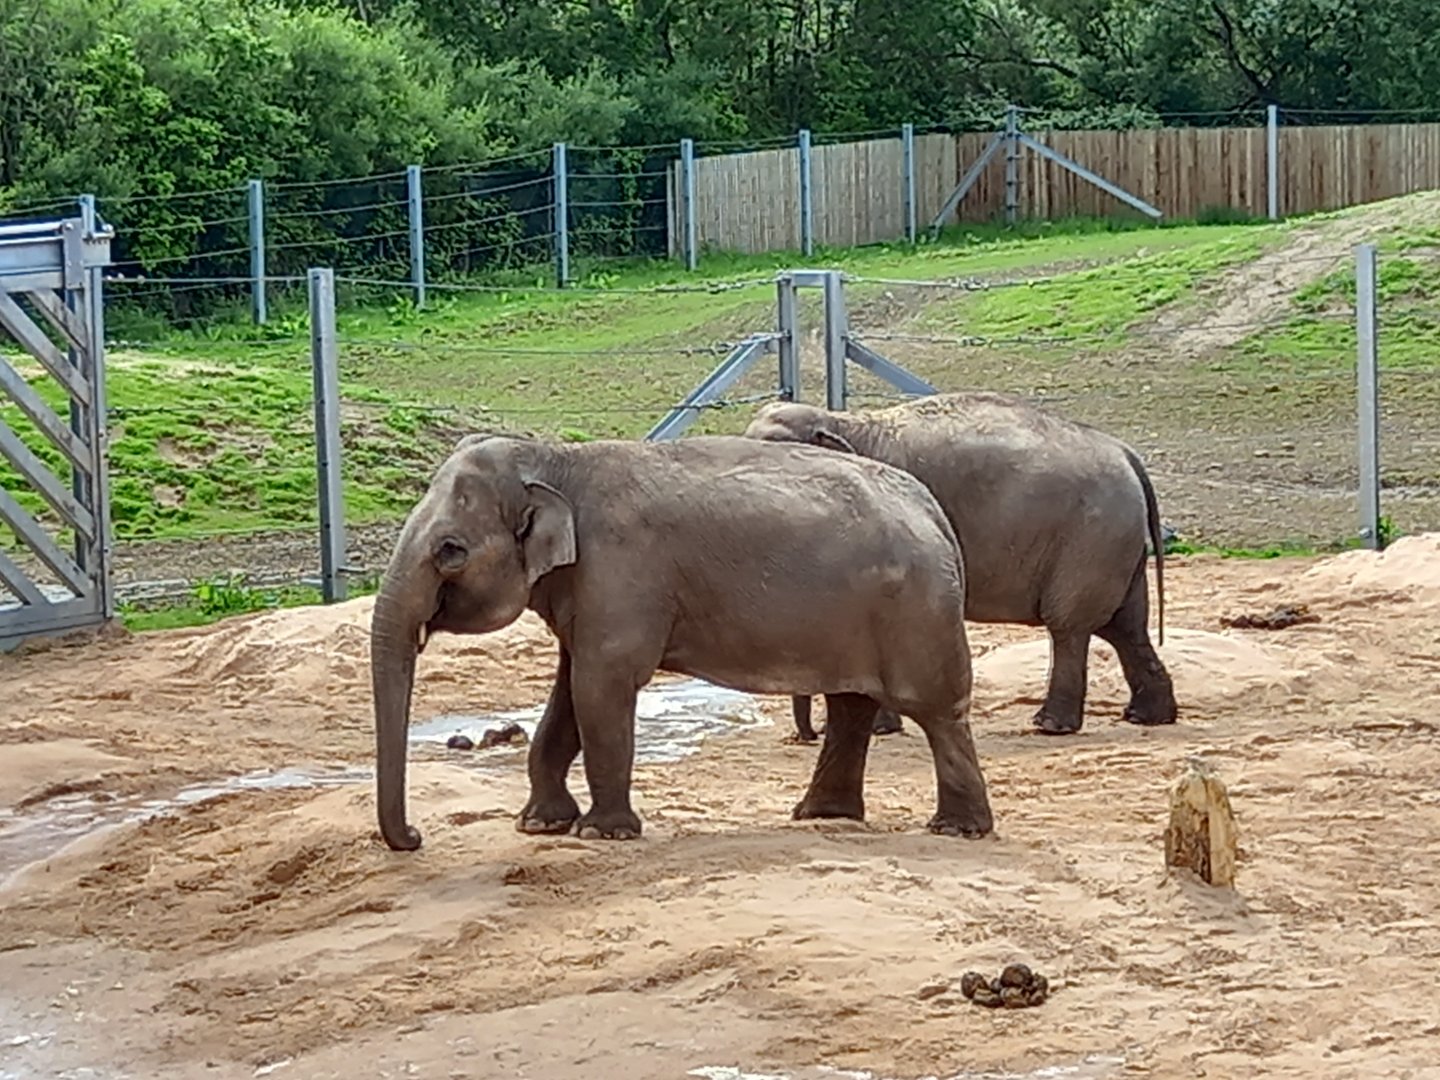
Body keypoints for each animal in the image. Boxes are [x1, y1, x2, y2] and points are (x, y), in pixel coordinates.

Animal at [368, 431, 994, 852]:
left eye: (451, 551)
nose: (416, 836)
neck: (556, 459)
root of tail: (934, 511)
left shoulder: (621, 573)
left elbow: (601, 686)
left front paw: (602, 833)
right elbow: (567, 691)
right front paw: (540, 824)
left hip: (915, 613)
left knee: (935, 710)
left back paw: (956, 829)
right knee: (852, 707)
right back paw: (823, 817)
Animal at [742, 391, 1177, 738]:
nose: (808, 736)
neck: (841, 420)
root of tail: (1126, 453)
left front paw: (877, 728)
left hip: (1091, 537)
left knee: (1071, 626)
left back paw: (1051, 726)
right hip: (1115, 542)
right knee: (1125, 627)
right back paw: (1147, 717)